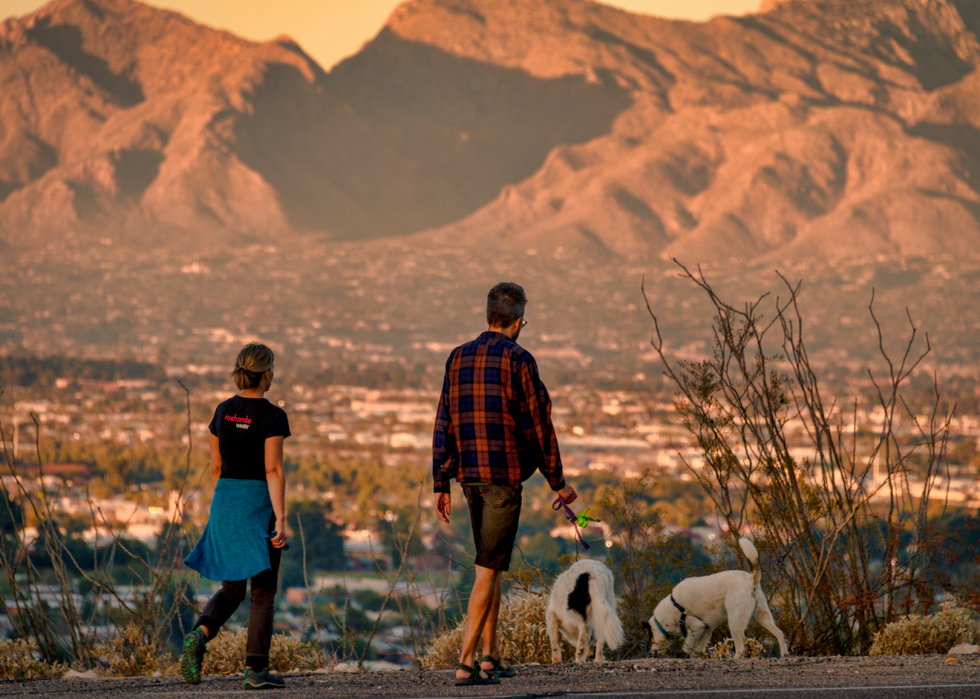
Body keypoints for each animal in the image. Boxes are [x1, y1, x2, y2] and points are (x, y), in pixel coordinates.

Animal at [644, 540, 788, 660]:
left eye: (651, 639)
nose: (650, 653)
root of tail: (750, 579)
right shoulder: (706, 629)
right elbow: (697, 649)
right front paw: (699, 655)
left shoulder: (696, 626)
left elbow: (686, 647)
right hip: (763, 617)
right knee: (780, 633)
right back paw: (784, 654)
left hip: (734, 622)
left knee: (741, 649)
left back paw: (734, 659)